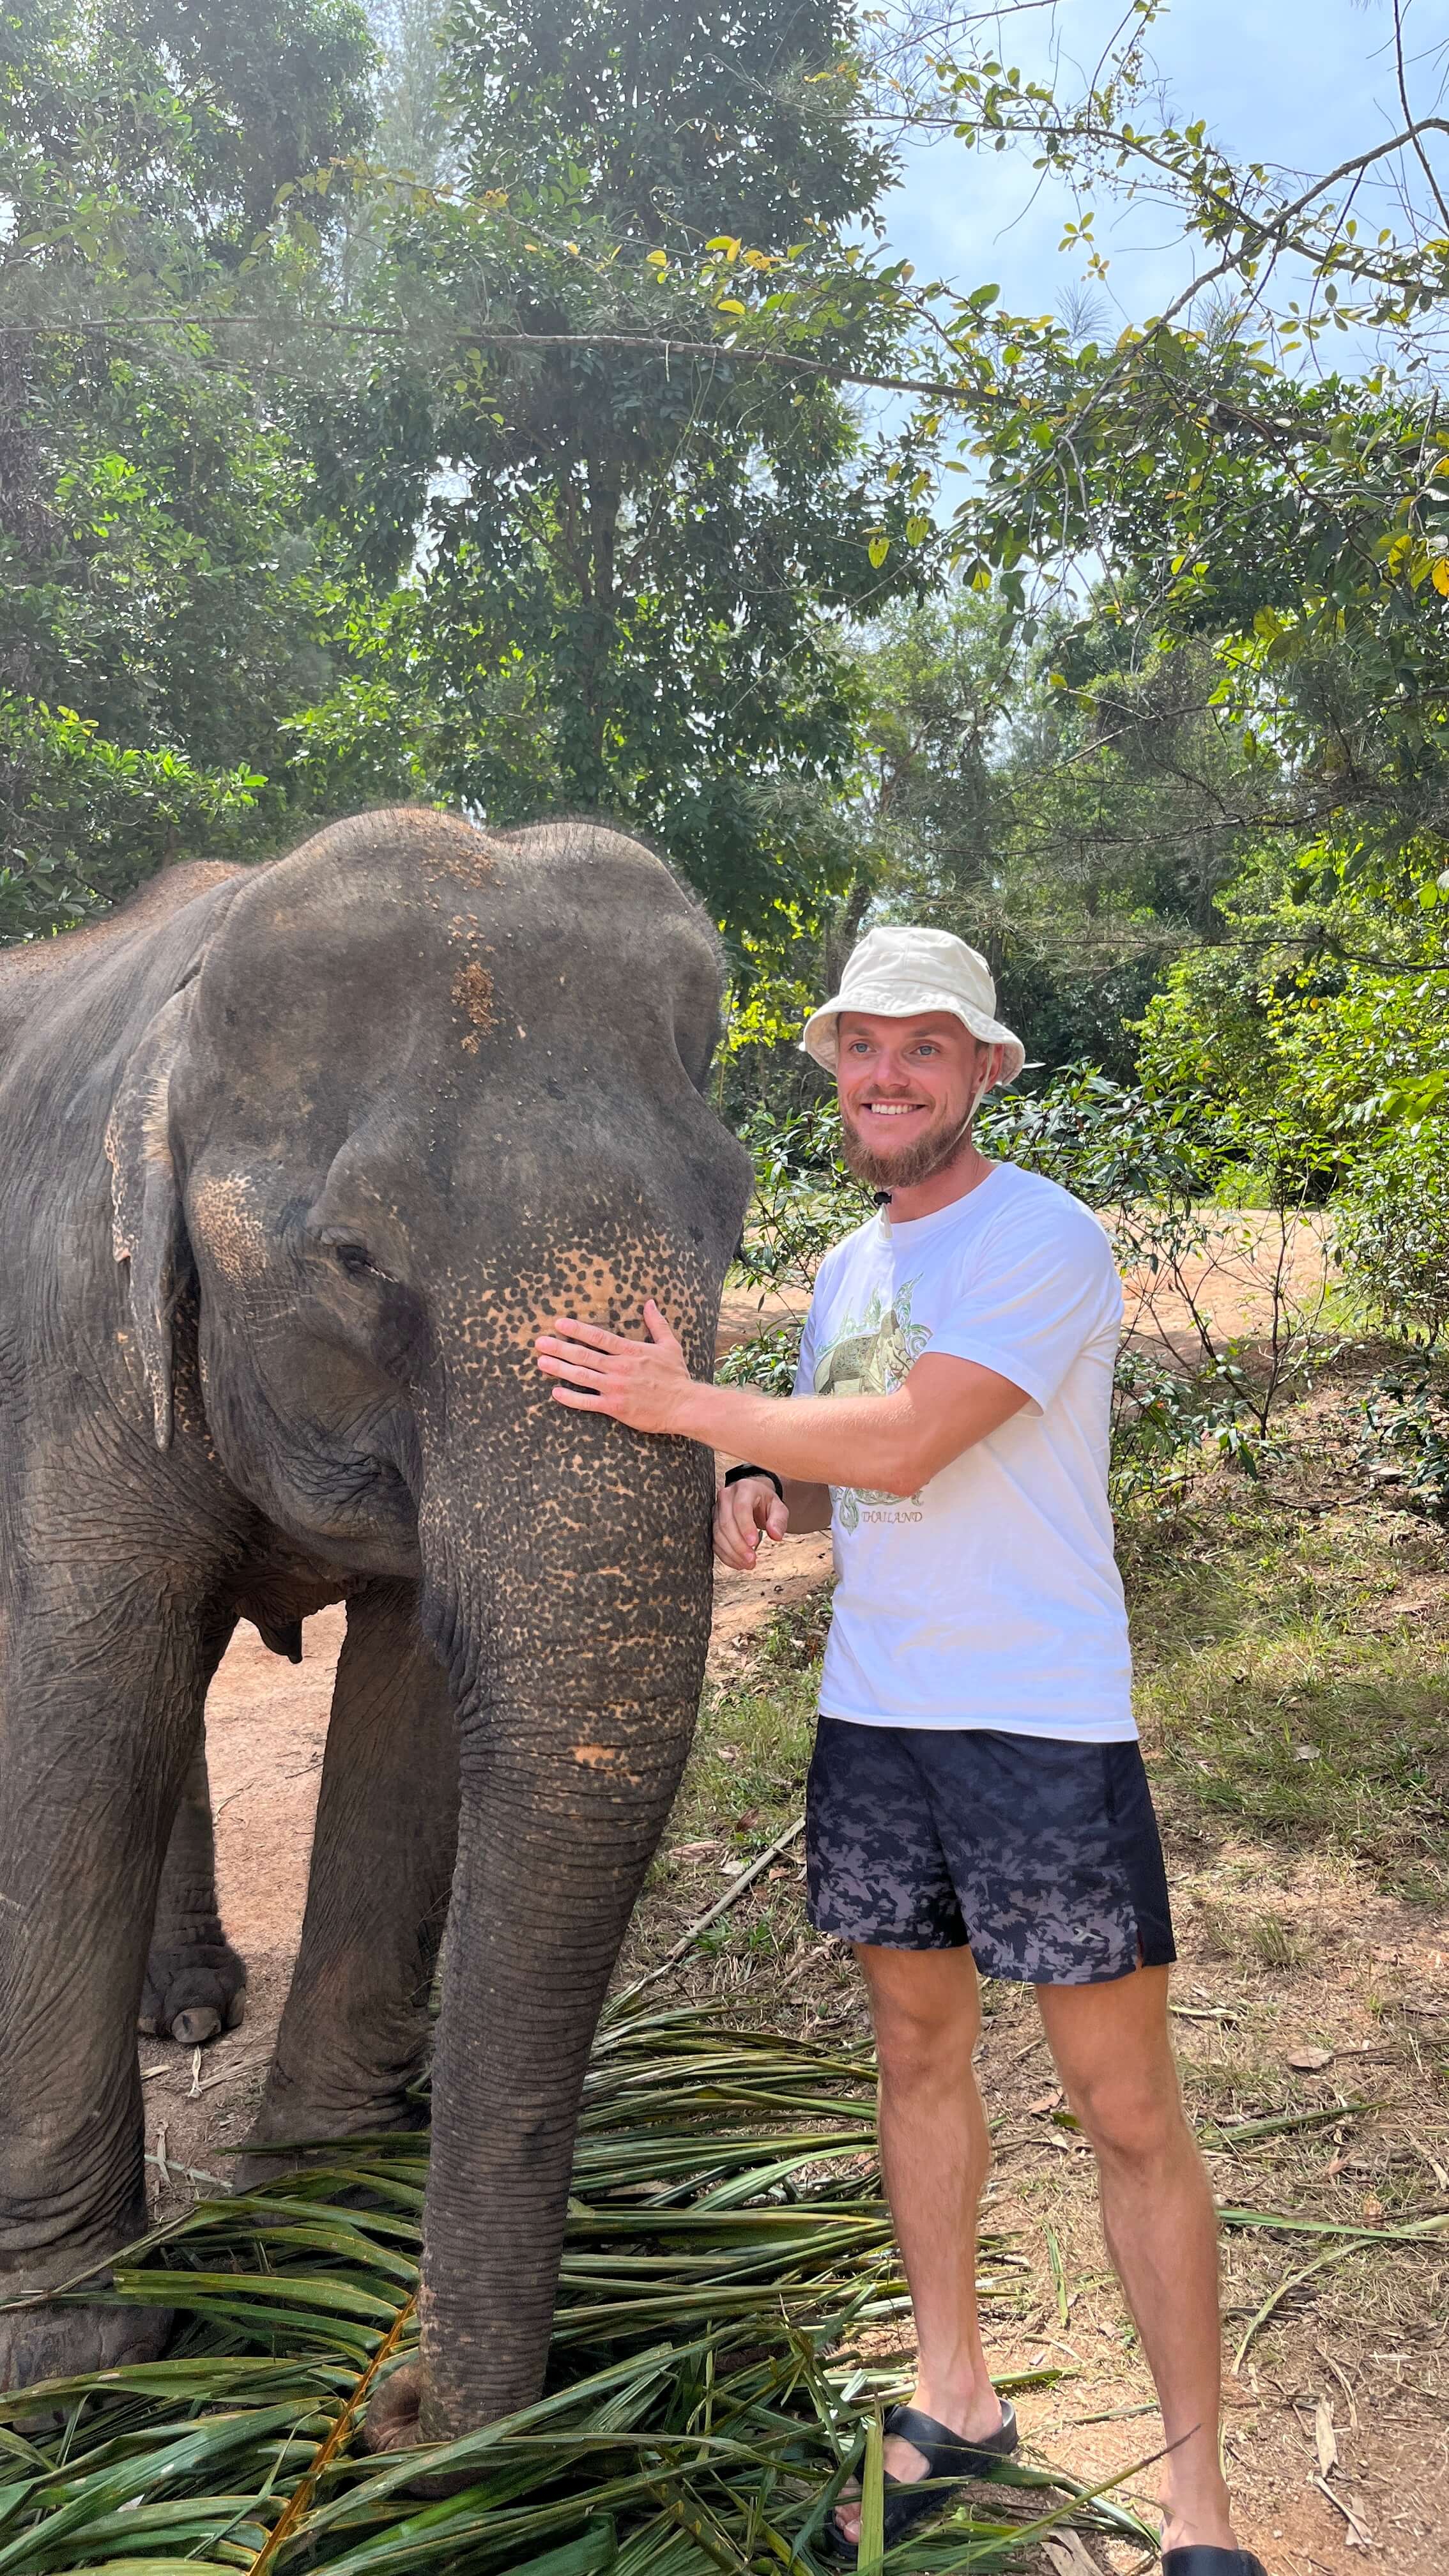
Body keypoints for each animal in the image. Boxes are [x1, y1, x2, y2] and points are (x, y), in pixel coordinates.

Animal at [0, 808, 752, 2444]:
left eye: (732, 1219)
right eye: (355, 1259)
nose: (401, 2404)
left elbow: (408, 1710)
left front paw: (319, 2224)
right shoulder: (63, 1341)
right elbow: (71, 1725)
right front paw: (68, 2367)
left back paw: (190, 2013)